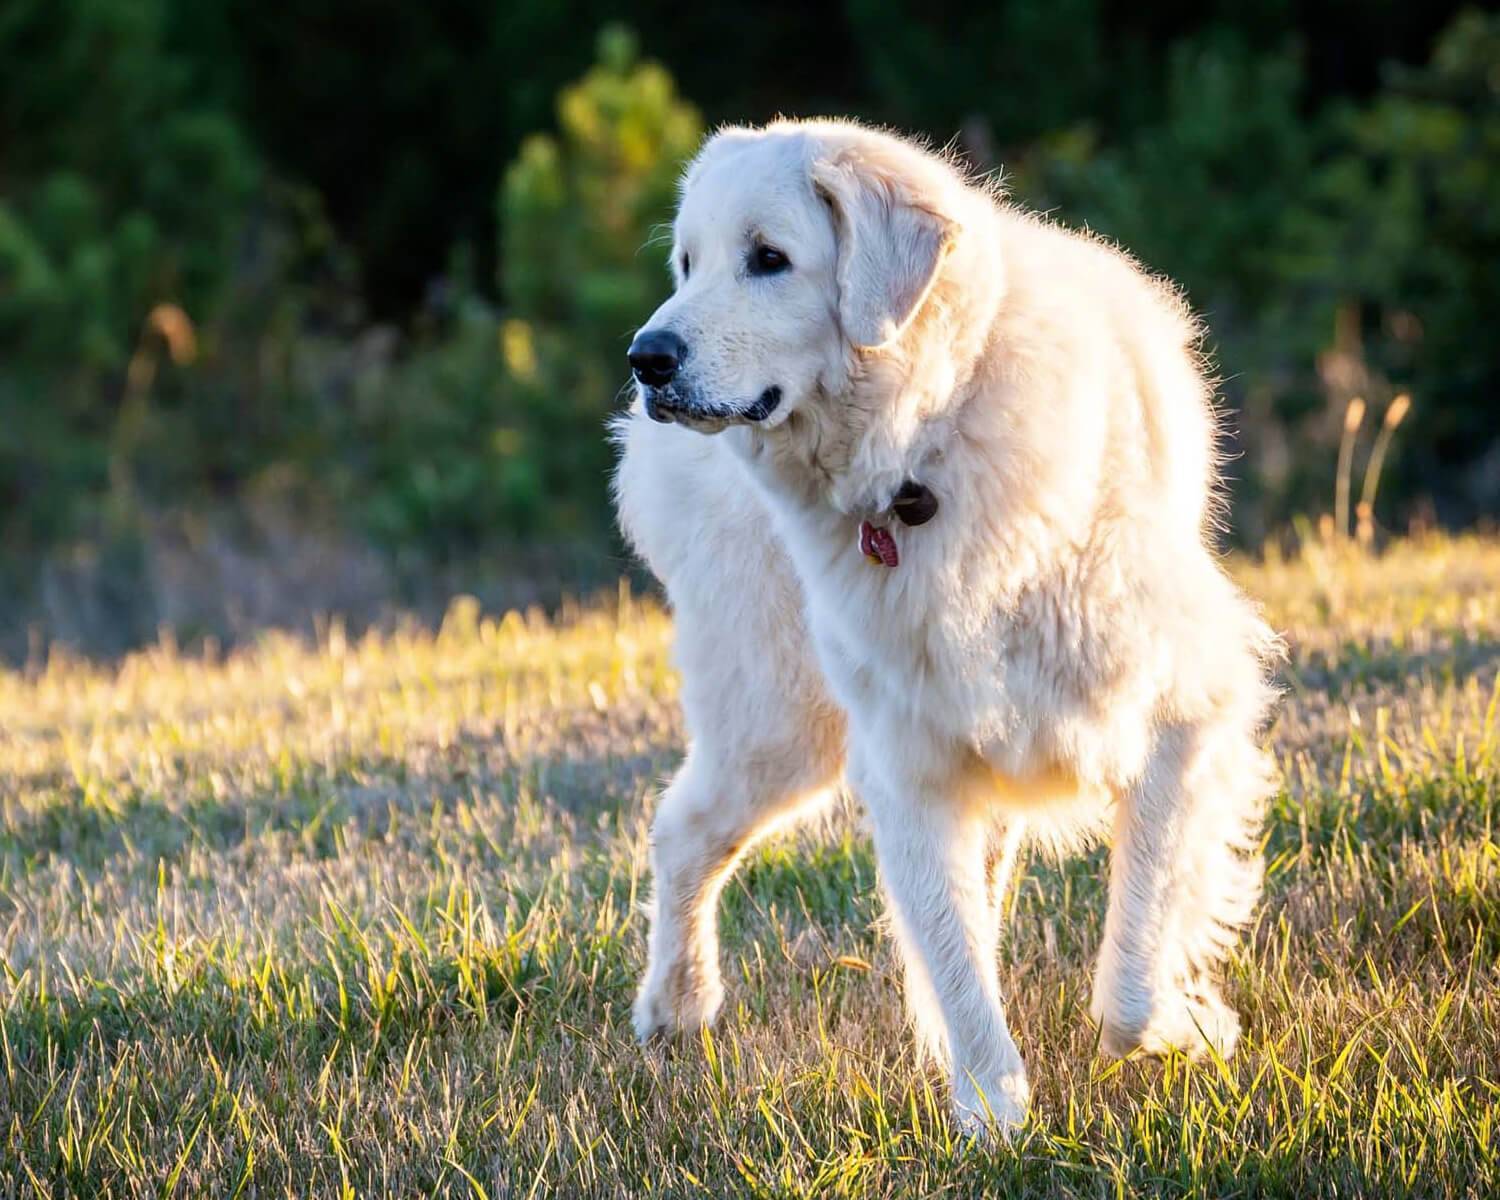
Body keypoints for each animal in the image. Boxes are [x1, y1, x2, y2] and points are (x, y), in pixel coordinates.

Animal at [609, 119, 1278, 1134]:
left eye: (769, 259)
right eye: (688, 263)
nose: (648, 357)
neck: (922, 454)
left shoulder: (1183, 716)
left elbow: (1130, 965)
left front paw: (1178, 1022)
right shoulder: (908, 763)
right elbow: (957, 955)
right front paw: (996, 1114)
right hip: (781, 724)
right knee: (683, 829)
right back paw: (678, 1006)